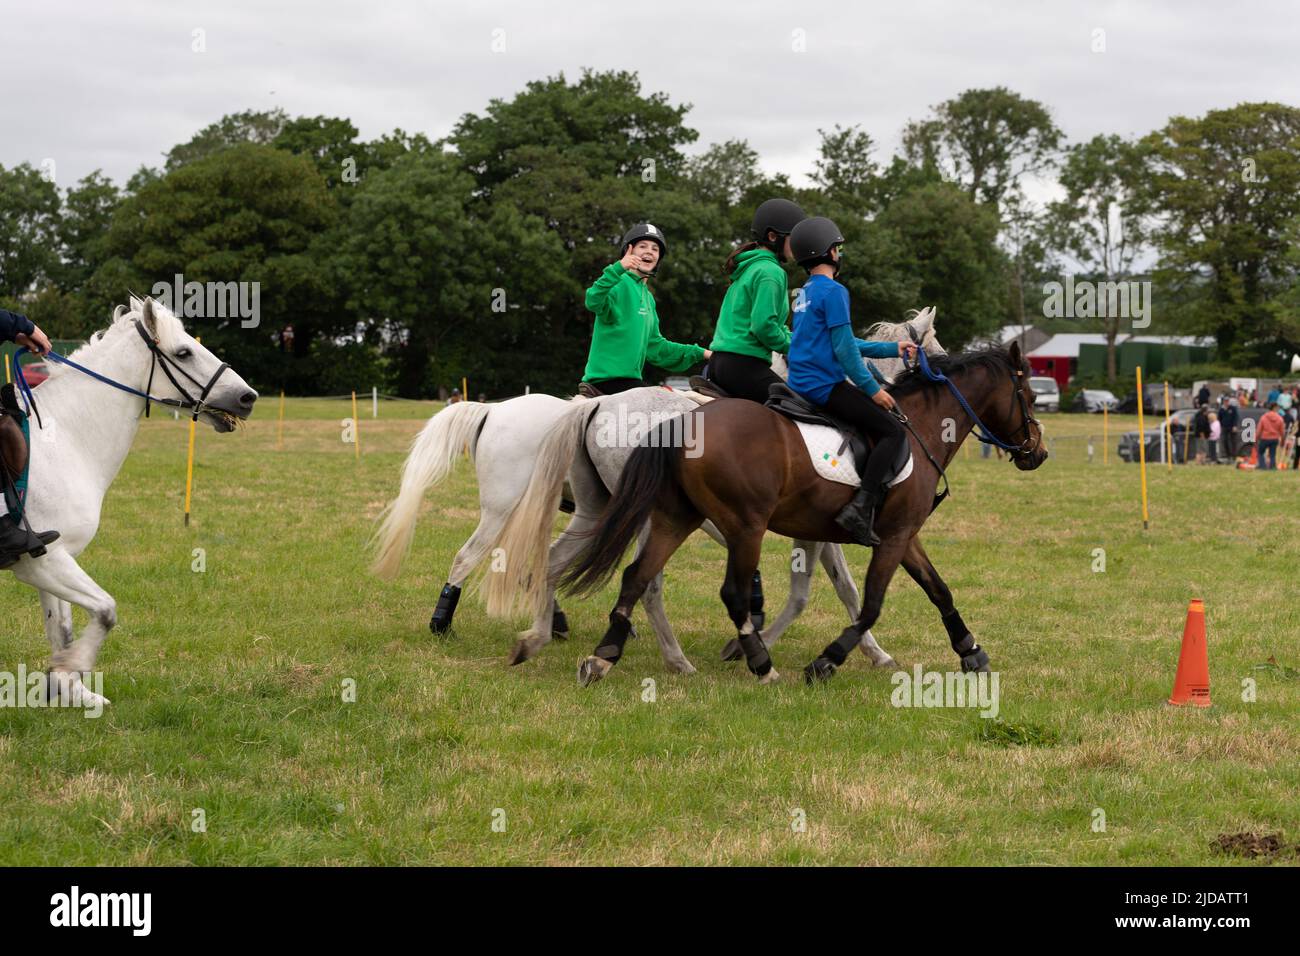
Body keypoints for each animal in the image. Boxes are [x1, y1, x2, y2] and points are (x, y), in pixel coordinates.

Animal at [564, 343, 1050, 686]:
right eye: (1027, 395)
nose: (1039, 453)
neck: (919, 428)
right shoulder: (890, 537)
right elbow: (866, 602)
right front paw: (827, 660)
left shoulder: (901, 535)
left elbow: (937, 590)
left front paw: (970, 649)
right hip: (744, 527)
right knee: (723, 592)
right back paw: (756, 664)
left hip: (671, 518)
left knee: (635, 576)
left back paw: (605, 656)